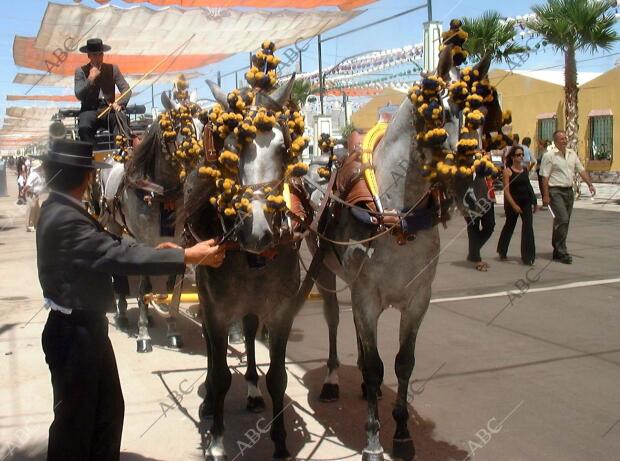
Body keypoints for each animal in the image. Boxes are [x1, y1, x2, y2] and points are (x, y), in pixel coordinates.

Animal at [182, 76, 312, 460]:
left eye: (284, 148)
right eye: (229, 147)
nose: (258, 230)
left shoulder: (282, 311)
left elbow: (279, 377)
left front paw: (280, 443)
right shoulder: (218, 310)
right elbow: (223, 374)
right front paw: (217, 441)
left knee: (252, 331)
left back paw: (253, 390)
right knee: (212, 349)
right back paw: (209, 400)